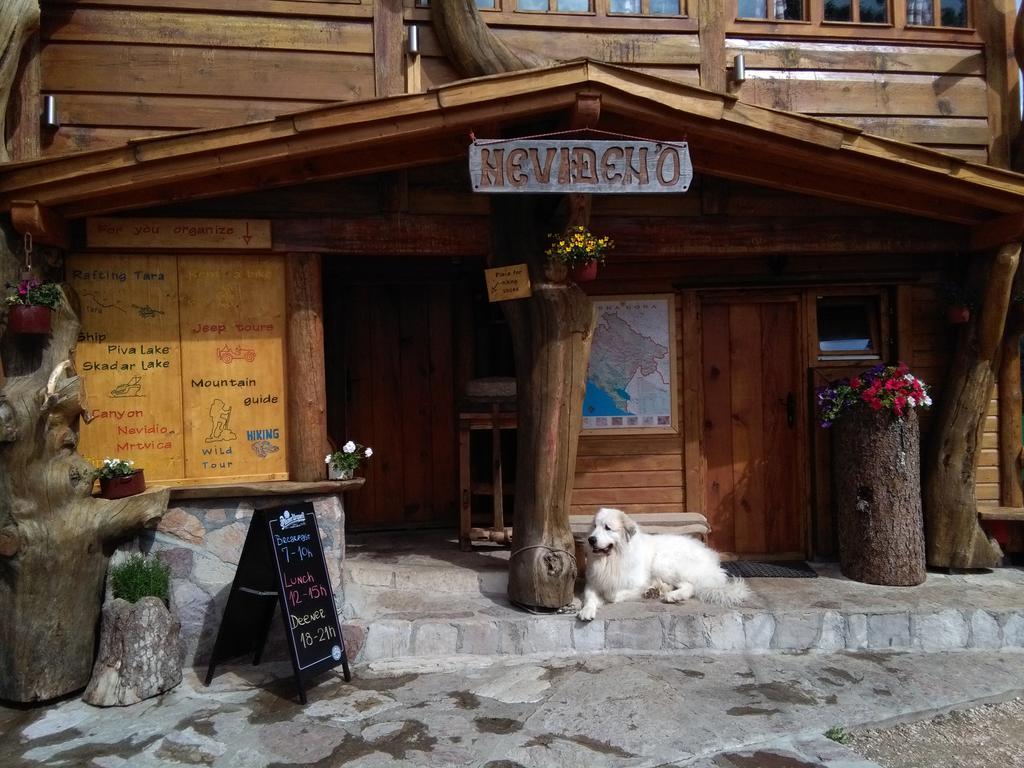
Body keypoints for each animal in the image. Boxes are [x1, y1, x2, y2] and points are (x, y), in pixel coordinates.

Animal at [577, 507, 753, 622]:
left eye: (607, 528)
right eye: (594, 526)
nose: (591, 539)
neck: (611, 560)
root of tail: (712, 560)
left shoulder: (636, 582)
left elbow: (612, 595)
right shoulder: (593, 582)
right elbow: (590, 597)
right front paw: (587, 610)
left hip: (662, 562)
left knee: (690, 586)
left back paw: (671, 595)